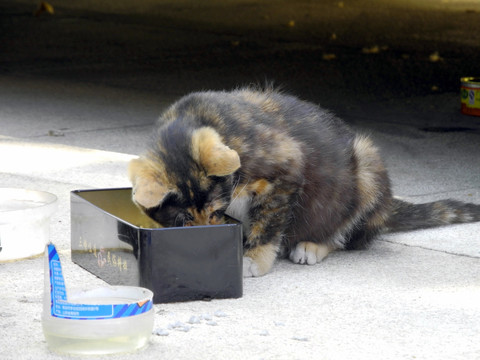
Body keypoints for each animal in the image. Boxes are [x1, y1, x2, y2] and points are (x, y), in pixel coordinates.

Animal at [127, 86, 480, 276]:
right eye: (184, 220)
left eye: (216, 211)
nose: (205, 238)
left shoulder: (286, 170)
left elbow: (268, 223)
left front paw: (253, 259)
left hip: (366, 169)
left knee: (345, 236)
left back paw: (312, 245)